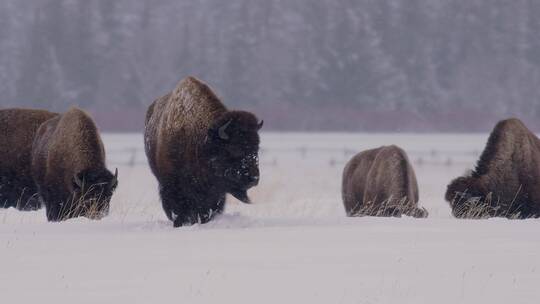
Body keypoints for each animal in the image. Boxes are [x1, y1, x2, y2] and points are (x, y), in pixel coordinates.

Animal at [143, 76, 262, 226]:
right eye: (234, 148)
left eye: (257, 148)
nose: (254, 178)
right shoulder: (172, 186)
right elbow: (178, 208)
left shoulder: (214, 194)